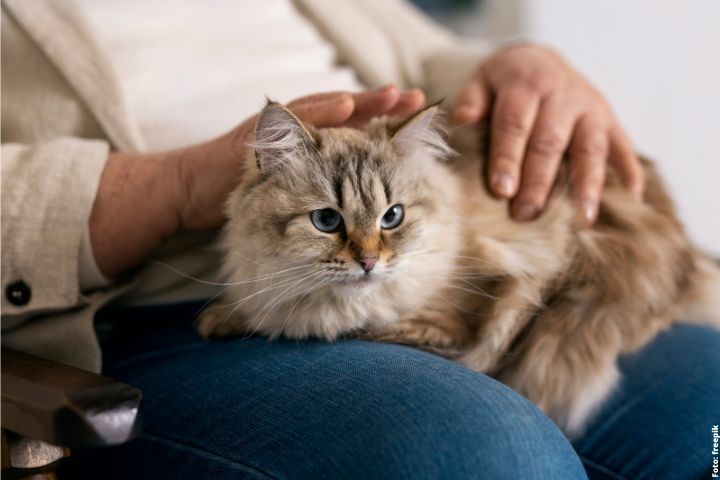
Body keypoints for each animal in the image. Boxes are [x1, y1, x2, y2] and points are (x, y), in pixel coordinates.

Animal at [197, 99, 720, 436]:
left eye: (392, 217)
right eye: (327, 221)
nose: (368, 262)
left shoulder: (482, 304)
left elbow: (365, 324)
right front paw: (222, 317)